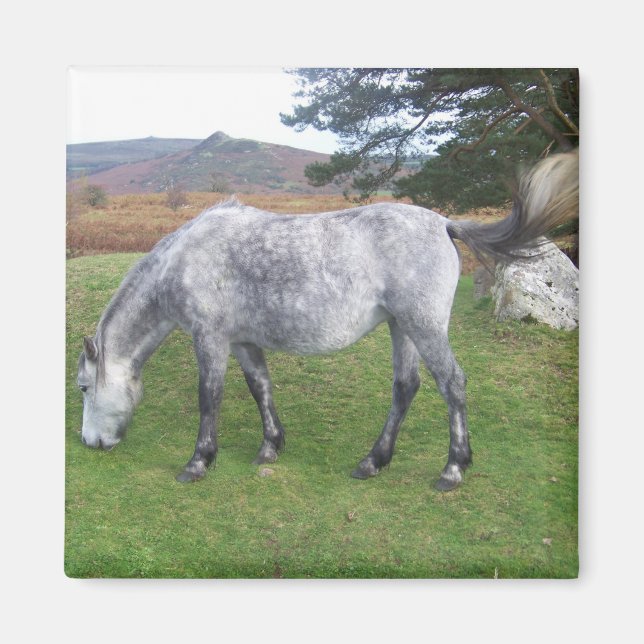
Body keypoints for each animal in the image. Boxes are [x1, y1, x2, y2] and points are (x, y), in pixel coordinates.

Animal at [76, 149, 578, 491]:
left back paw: (453, 468)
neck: (183, 258)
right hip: (402, 327)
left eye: (82, 387)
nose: (89, 443)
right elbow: (260, 387)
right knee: (406, 386)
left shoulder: (210, 337)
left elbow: (209, 397)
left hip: (424, 325)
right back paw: (373, 461)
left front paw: (198, 462)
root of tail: (444, 223)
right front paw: (270, 447)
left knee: (451, 383)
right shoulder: (241, 340)